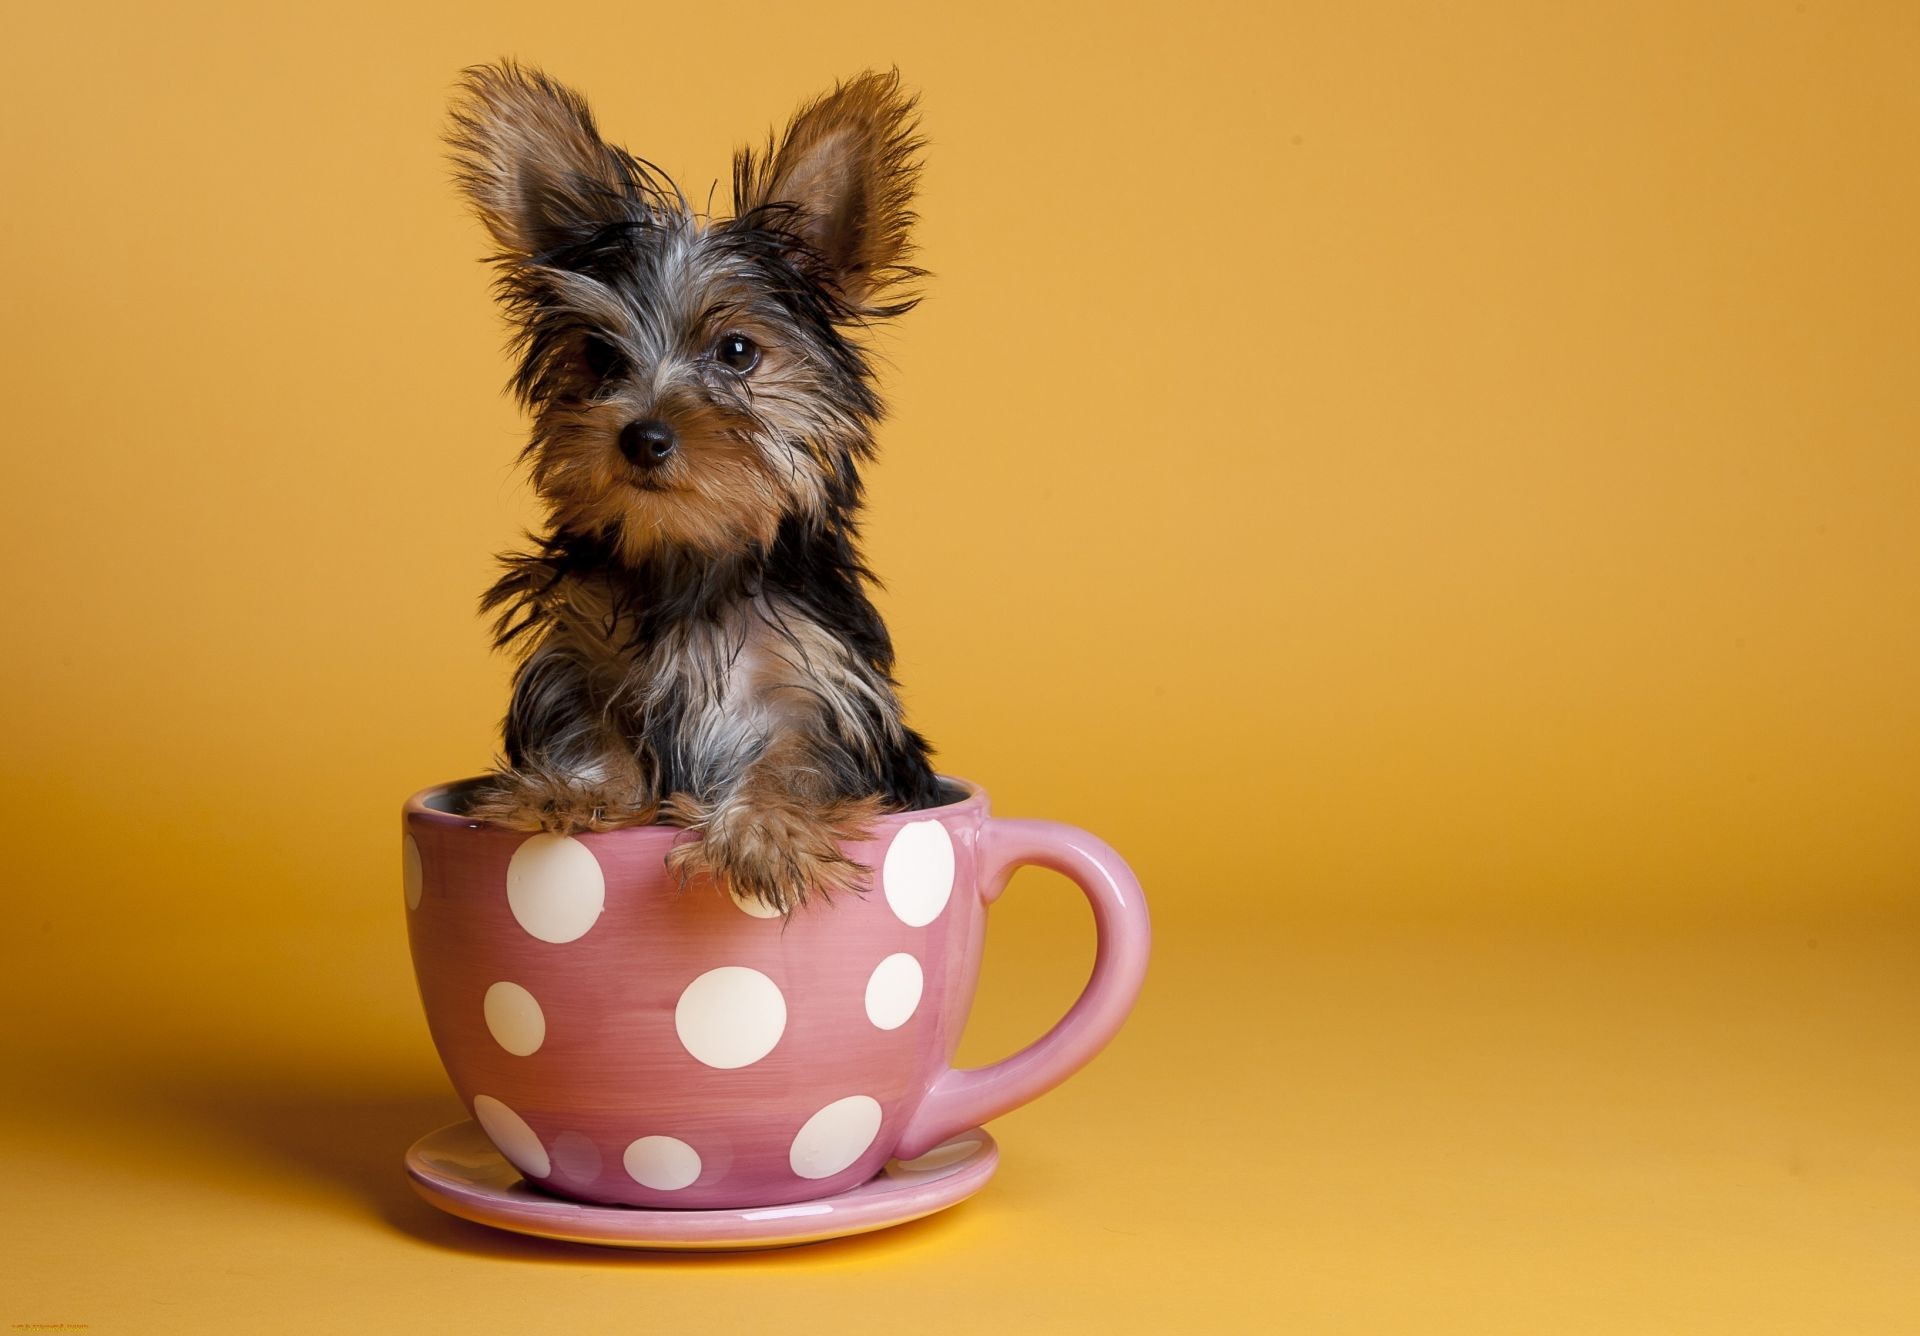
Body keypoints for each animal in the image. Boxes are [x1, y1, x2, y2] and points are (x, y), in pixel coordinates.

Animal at [437, 65, 944, 917]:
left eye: (737, 352)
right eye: (600, 355)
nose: (643, 435)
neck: (690, 554)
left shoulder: (822, 686)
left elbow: (794, 760)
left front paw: (762, 836)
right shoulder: (578, 654)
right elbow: (590, 723)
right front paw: (572, 787)